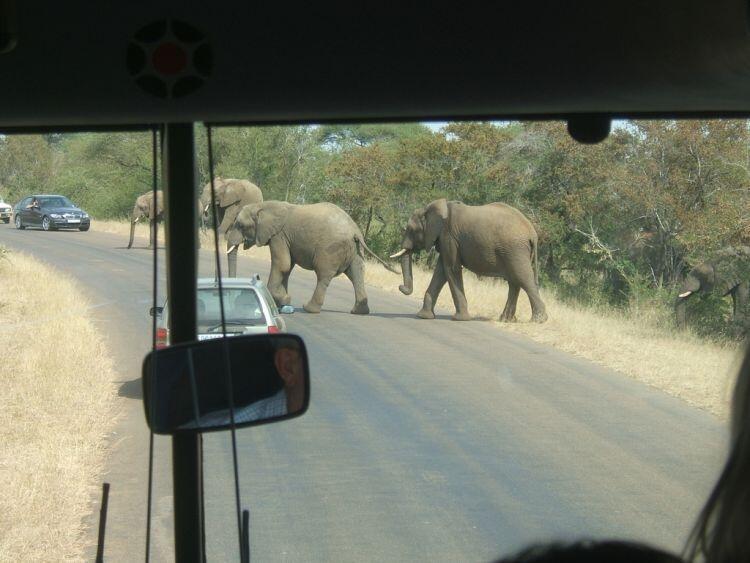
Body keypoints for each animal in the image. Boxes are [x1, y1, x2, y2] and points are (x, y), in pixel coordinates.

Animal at [234, 202, 400, 318]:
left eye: (240, 225)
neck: (263, 206)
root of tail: (355, 232)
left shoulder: (278, 236)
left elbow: (282, 265)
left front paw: (284, 300)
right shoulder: (286, 240)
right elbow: (287, 268)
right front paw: (281, 304)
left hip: (330, 250)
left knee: (323, 276)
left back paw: (309, 309)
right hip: (356, 251)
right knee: (357, 275)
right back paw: (359, 312)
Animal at [394, 198, 548, 322]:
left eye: (411, 230)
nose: (400, 287)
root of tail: (533, 233)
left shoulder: (448, 236)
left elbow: (452, 269)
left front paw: (460, 319)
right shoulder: (446, 240)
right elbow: (441, 272)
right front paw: (423, 316)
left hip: (515, 250)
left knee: (523, 279)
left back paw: (538, 320)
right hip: (513, 251)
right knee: (514, 282)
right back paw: (506, 320)